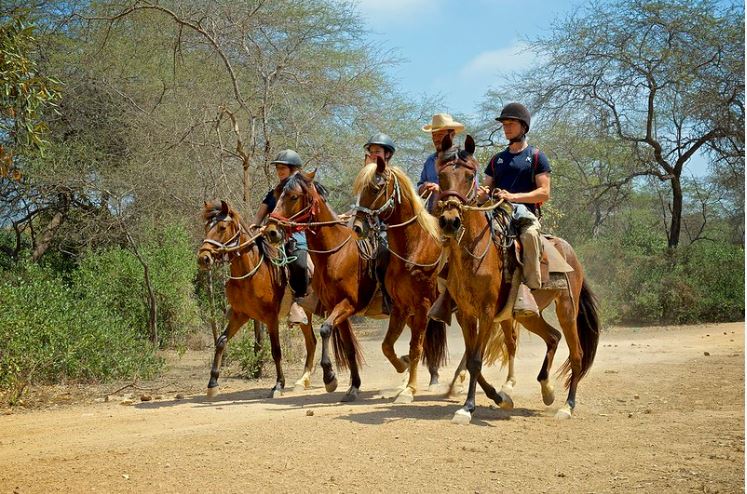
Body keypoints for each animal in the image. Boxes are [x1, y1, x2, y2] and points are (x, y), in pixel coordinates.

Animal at [197, 200, 318, 398]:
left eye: (222, 227)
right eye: (206, 227)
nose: (203, 258)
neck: (251, 273)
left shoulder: (270, 318)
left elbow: (276, 351)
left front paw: (278, 385)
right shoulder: (240, 315)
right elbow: (221, 341)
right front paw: (212, 383)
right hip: (307, 315)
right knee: (312, 342)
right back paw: (303, 381)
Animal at [432, 136, 600, 424]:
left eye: (469, 175)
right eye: (442, 175)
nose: (450, 221)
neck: (476, 251)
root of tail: (571, 254)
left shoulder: (487, 311)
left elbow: (475, 360)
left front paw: (468, 407)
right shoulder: (466, 313)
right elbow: (472, 359)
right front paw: (500, 398)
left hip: (567, 308)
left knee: (576, 354)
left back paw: (567, 406)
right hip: (527, 314)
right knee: (553, 337)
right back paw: (547, 389)